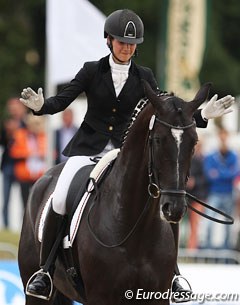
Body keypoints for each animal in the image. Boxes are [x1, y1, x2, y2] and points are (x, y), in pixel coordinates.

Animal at [18, 81, 210, 304]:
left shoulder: (157, 296)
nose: (175, 208)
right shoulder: (100, 296)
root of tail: (44, 177)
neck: (136, 230)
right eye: (158, 140)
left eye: (194, 142)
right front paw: (36, 102)